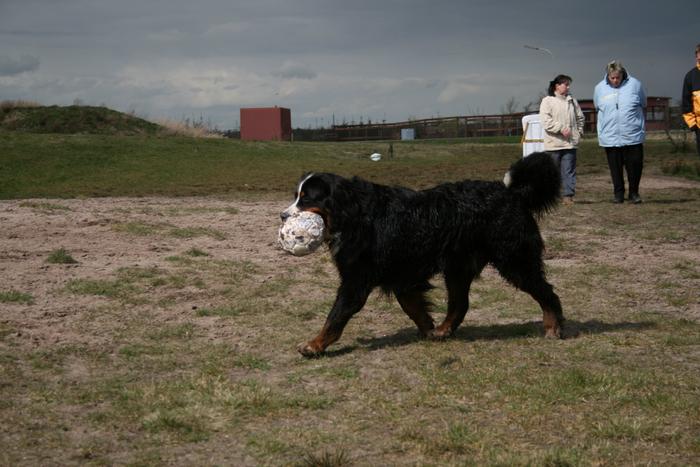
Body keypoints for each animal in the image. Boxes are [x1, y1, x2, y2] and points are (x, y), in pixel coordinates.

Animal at [282, 152, 568, 356]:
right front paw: (430, 331)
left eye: (306, 199)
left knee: (547, 293)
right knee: (460, 303)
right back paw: (443, 331)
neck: (354, 215)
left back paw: (553, 327)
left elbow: (336, 316)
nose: (283, 216)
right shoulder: (401, 278)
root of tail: (512, 193)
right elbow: (414, 309)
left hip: (515, 261)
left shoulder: (356, 281)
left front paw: (314, 345)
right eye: (296, 196)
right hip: (458, 267)